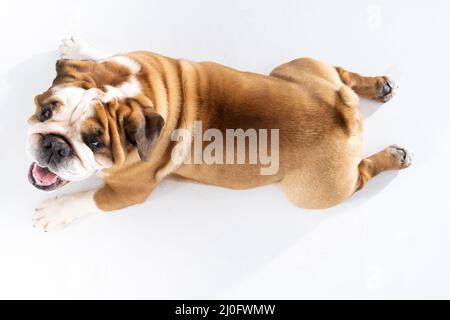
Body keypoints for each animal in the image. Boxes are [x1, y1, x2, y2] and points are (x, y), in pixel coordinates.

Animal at [26, 37, 410, 231]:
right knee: (341, 73)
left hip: (317, 192)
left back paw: (394, 156)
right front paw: (80, 50)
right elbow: (108, 56)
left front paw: (54, 213)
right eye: (46, 111)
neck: (133, 91)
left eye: (95, 142)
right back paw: (378, 86)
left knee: (363, 173)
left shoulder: (126, 192)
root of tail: (345, 117)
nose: (55, 145)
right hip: (301, 67)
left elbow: (86, 200)